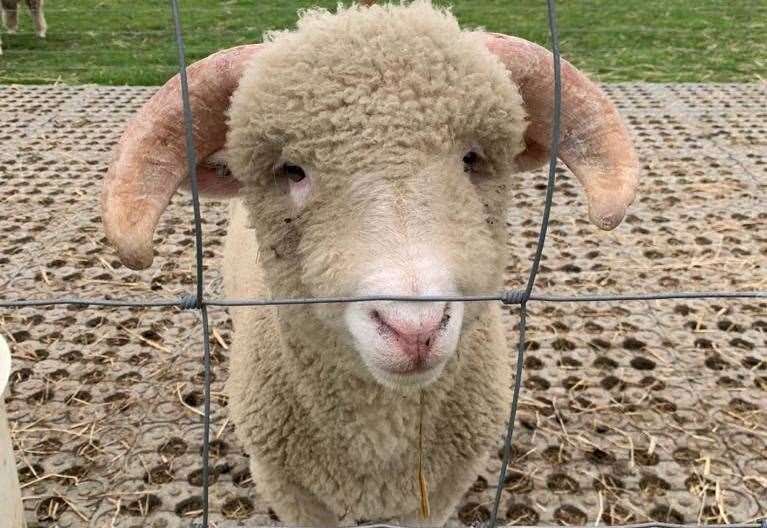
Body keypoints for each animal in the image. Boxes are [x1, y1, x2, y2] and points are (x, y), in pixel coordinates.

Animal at [103, 2, 640, 524]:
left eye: (471, 159)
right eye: (292, 170)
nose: (415, 329)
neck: (381, 439)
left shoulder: (439, 493)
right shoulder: (290, 491)